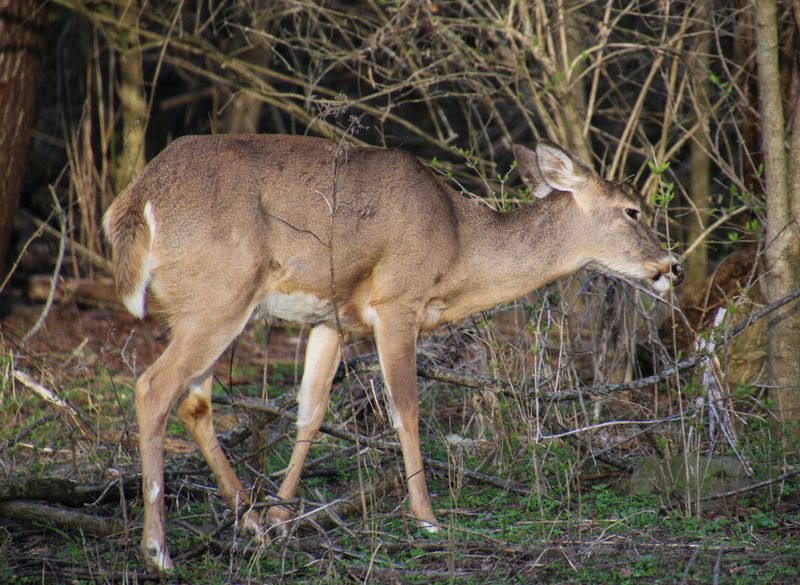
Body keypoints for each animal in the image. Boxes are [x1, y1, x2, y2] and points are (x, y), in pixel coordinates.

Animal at [103, 134, 684, 573]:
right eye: (632, 210)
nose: (671, 266)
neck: (458, 249)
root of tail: (138, 199)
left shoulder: (332, 316)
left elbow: (310, 410)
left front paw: (282, 517)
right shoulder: (398, 301)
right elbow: (406, 409)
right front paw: (425, 516)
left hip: (204, 306)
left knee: (194, 401)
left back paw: (247, 517)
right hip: (220, 294)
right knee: (153, 387)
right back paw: (158, 552)